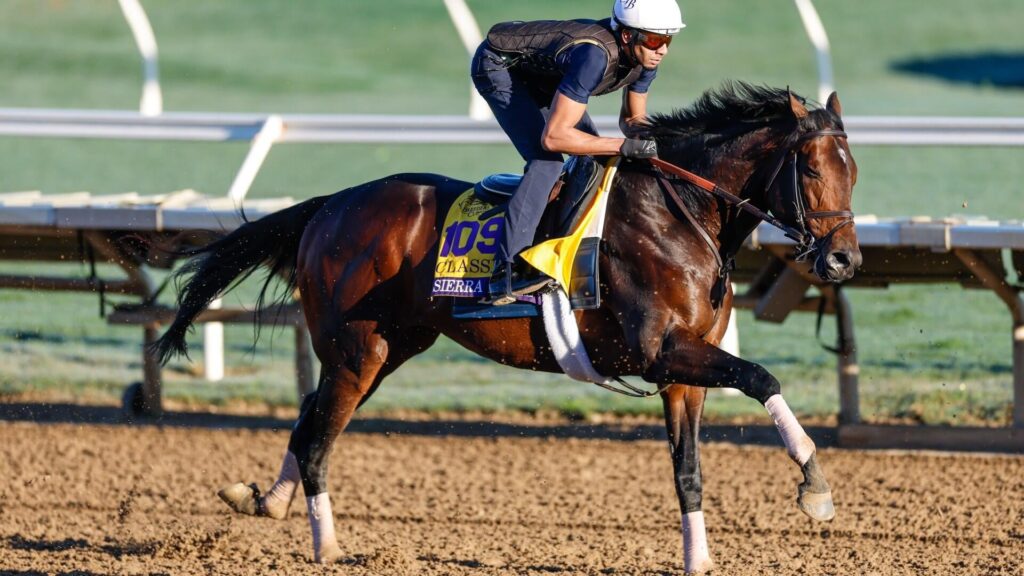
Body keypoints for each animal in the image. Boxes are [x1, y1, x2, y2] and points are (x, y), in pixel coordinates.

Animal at [154, 82, 860, 573]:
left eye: (853, 171)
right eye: (813, 170)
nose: (844, 260)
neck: (679, 212)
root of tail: (332, 204)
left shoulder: (683, 371)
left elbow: (689, 468)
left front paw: (700, 558)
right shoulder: (661, 351)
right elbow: (761, 376)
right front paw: (815, 486)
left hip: (388, 346)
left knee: (308, 416)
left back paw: (267, 500)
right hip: (359, 350)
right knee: (319, 439)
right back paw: (328, 548)